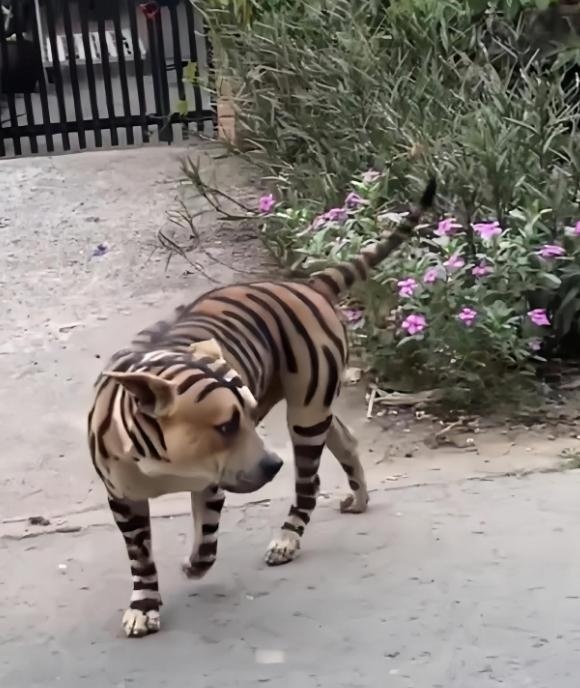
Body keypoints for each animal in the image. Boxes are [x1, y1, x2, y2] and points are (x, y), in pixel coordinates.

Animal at [87, 178, 436, 638]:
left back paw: (289, 535)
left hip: (306, 413)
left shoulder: (212, 484)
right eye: (225, 426)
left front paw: (192, 565)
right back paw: (358, 496)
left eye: (246, 418)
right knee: (345, 440)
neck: (162, 461)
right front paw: (144, 603)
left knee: (308, 482)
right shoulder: (124, 500)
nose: (272, 466)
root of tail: (309, 285)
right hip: (316, 408)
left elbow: (206, 543)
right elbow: (141, 555)